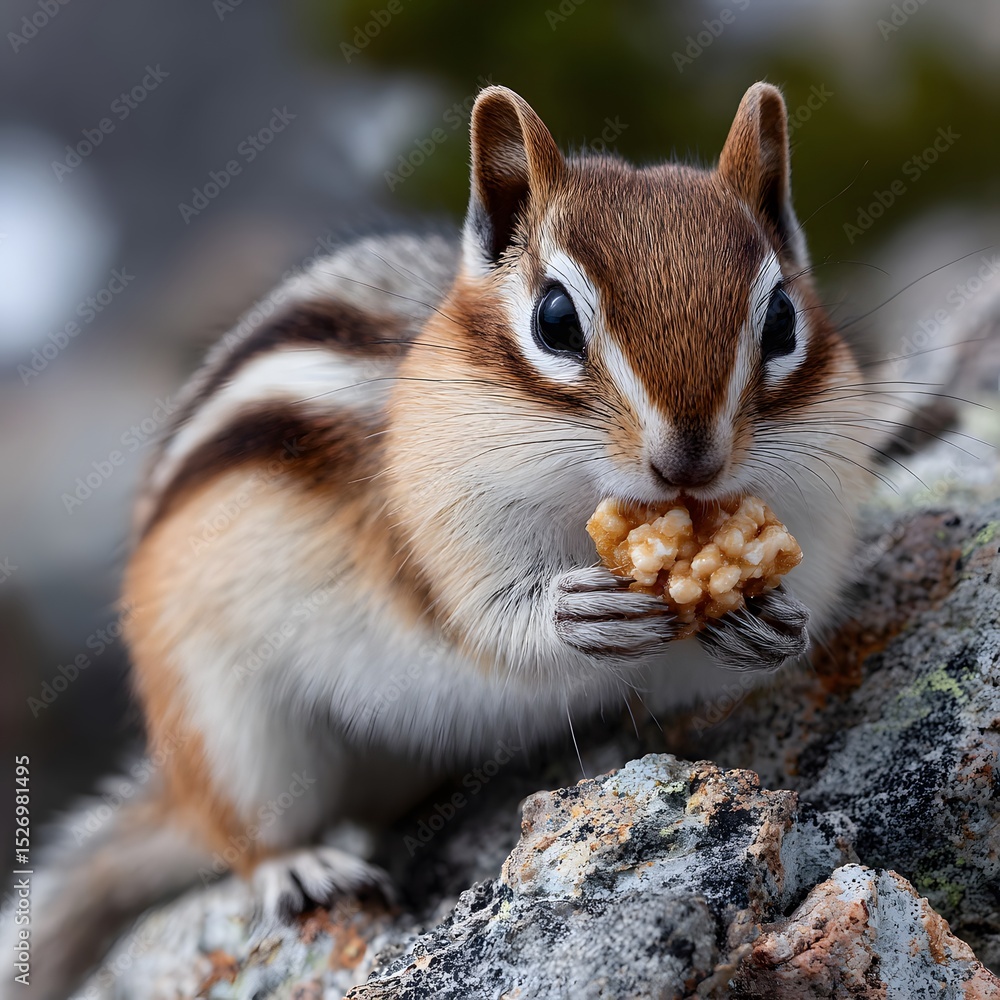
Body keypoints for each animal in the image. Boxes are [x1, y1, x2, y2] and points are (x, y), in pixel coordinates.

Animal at [13, 82, 890, 998]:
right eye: (554, 319)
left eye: (783, 318)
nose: (691, 461)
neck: (584, 499)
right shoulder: (430, 541)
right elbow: (485, 628)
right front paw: (576, 613)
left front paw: (773, 623)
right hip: (228, 723)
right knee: (243, 833)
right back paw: (299, 865)